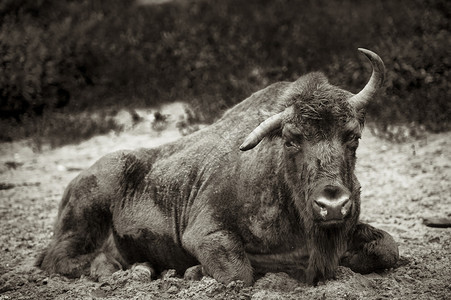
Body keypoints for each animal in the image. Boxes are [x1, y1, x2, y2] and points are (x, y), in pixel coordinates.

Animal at [38, 49, 400, 286]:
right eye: (291, 139)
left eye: (352, 136)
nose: (332, 204)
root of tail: (75, 181)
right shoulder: (205, 232)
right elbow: (240, 273)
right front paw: (194, 272)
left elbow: (388, 247)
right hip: (85, 215)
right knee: (61, 258)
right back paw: (127, 270)